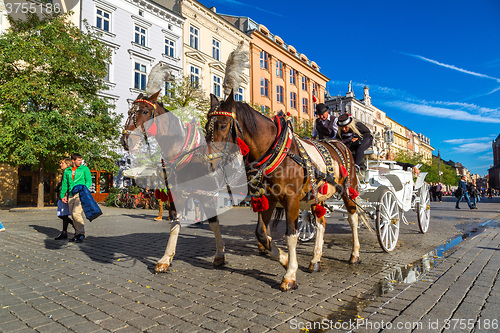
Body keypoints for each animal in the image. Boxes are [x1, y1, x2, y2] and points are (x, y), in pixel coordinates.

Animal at [120, 90, 226, 270]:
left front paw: (220, 254)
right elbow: (175, 223)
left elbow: (214, 222)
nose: (126, 140)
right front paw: (166, 258)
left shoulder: (206, 194)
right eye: (129, 112)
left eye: (145, 111)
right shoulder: (176, 194)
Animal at [207, 91, 364, 290]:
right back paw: (315, 260)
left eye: (222, 125)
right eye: (206, 126)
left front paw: (290, 275)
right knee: (321, 223)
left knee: (353, 218)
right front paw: (284, 259)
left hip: (348, 190)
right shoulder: (269, 198)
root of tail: (341, 143)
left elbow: (291, 235)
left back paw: (355, 255)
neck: (275, 151)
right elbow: (261, 233)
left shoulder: (291, 200)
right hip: (317, 195)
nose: (209, 165)